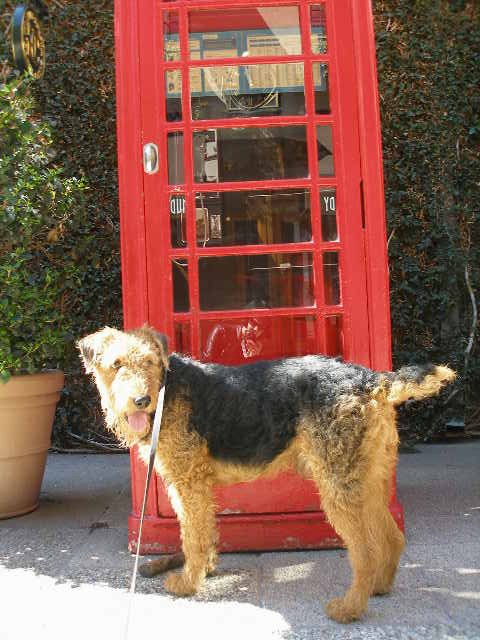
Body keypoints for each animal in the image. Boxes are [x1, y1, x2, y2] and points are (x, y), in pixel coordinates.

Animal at [77, 324, 456, 620]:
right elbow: (203, 530)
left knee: (364, 552)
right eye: (116, 365)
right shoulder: (193, 486)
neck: (167, 387)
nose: (141, 401)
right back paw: (379, 587)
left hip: (338, 486)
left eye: (150, 362)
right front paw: (206, 568)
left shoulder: (188, 483)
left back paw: (348, 608)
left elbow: (192, 536)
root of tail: (369, 379)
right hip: (369, 477)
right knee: (392, 537)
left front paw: (186, 583)